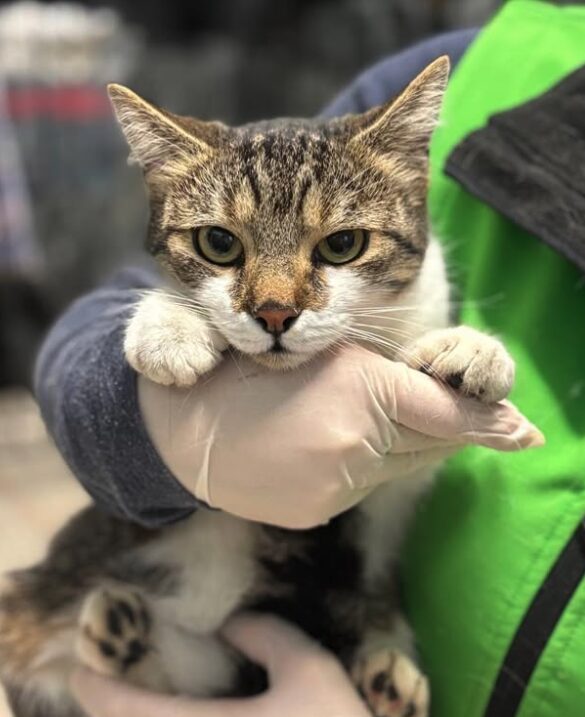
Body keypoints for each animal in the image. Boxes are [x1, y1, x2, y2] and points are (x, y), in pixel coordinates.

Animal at [0, 54, 516, 716]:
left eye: (342, 244)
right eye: (218, 243)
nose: (273, 312)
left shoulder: (394, 494)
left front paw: (469, 349)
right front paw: (169, 326)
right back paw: (119, 637)